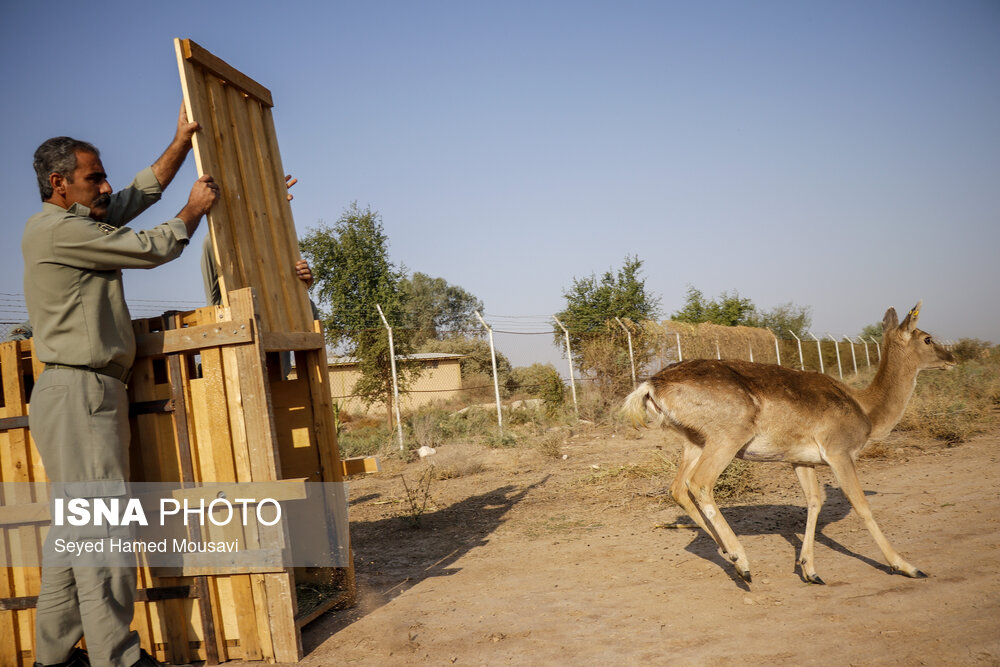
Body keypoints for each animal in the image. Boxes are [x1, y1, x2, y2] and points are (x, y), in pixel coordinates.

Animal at [620, 302, 956, 584]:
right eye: (927, 338)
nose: (952, 358)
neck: (867, 410)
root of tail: (651, 385)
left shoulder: (801, 459)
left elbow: (814, 501)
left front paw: (810, 570)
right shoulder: (839, 451)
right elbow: (861, 505)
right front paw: (908, 566)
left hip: (694, 440)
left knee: (677, 487)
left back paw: (729, 555)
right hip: (727, 435)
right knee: (699, 482)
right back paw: (743, 563)